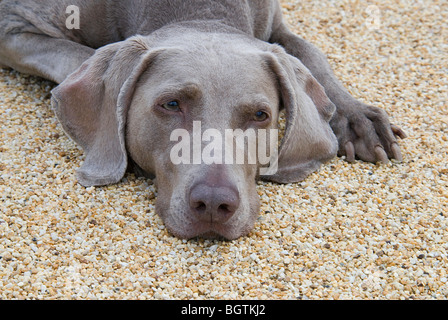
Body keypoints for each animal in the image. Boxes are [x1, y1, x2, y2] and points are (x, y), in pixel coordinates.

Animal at [0, 0, 406, 239]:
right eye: (171, 104)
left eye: (260, 115)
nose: (213, 204)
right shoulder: (13, 23)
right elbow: (80, 55)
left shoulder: (275, 22)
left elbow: (311, 52)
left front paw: (356, 116)